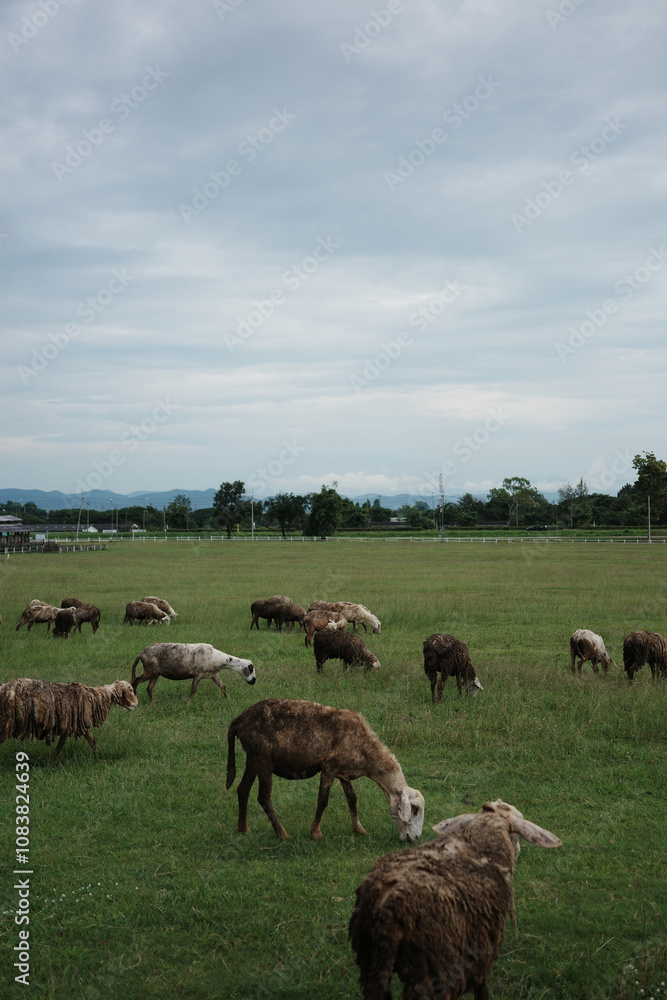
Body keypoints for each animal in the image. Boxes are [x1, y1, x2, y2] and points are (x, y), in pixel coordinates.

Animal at [0, 678, 138, 761]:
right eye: (130, 690)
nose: (136, 704)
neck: (95, 697)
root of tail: (3, 688)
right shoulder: (71, 723)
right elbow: (61, 744)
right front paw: (54, 762)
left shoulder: (75, 724)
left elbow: (90, 739)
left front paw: (97, 756)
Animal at [226, 697, 424, 841]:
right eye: (414, 809)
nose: (415, 838)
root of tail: (239, 721)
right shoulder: (329, 767)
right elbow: (323, 800)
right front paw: (316, 833)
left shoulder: (344, 772)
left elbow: (352, 799)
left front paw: (359, 829)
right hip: (263, 758)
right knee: (264, 797)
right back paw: (282, 834)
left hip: (253, 757)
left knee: (243, 789)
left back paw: (243, 829)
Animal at [348, 799, 562, 1000]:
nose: (518, 851)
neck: (481, 846)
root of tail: (387, 908)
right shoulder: (483, 951)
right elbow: (482, 990)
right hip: (435, 965)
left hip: (371, 961)